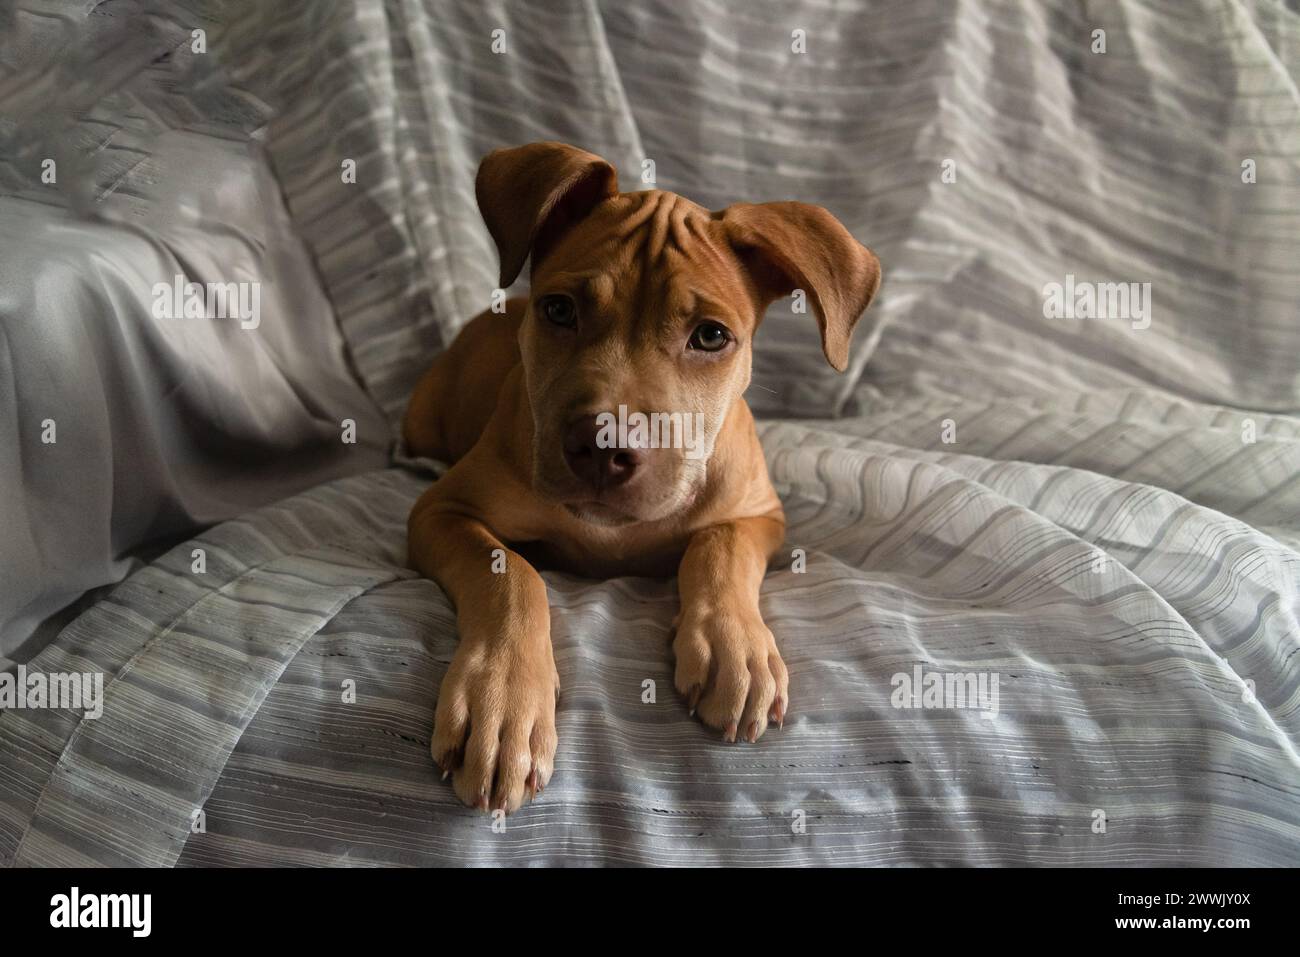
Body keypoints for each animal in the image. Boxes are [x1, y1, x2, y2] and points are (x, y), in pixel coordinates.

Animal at [400, 143, 878, 816]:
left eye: (711, 336)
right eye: (559, 310)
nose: (603, 448)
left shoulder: (760, 513)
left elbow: (719, 545)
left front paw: (735, 646)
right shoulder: (443, 510)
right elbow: (511, 576)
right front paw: (502, 704)